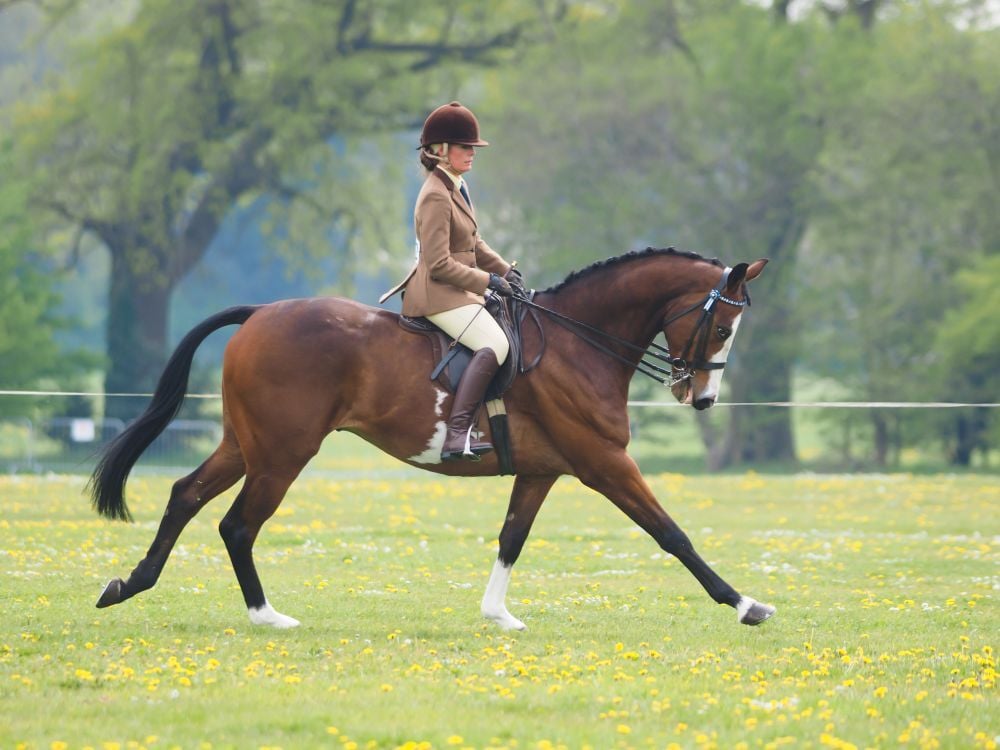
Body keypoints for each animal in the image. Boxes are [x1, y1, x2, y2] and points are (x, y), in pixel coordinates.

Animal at [89, 247, 774, 631]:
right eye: (722, 327)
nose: (702, 398)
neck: (580, 341)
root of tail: (260, 312)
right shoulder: (605, 463)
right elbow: (671, 534)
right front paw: (744, 604)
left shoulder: (542, 470)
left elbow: (512, 538)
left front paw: (498, 616)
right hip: (282, 454)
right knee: (236, 525)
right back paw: (266, 617)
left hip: (245, 445)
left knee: (185, 495)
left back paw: (129, 584)